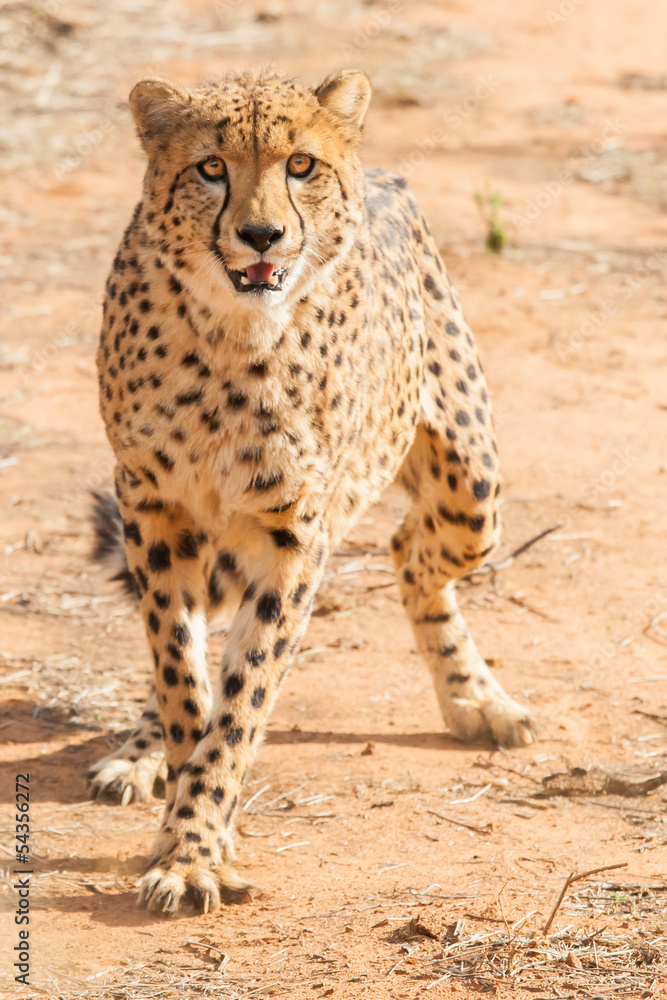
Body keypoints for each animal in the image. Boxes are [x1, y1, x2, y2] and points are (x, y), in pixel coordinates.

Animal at [89, 67, 534, 917]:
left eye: (300, 165)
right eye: (210, 168)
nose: (261, 235)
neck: (232, 337)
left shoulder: (293, 533)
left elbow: (242, 701)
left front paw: (196, 846)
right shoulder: (153, 509)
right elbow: (180, 673)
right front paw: (189, 821)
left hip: (471, 485)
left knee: (412, 549)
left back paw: (475, 699)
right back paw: (139, 752)